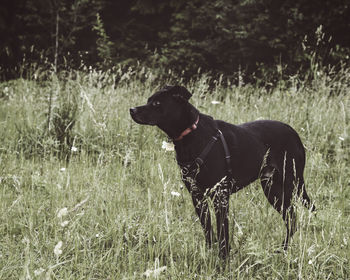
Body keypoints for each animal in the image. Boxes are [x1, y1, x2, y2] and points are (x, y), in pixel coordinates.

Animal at [130, 85, 316, 258]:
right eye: (148, 100)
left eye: (156, 103)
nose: (132, 110)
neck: (191, 135)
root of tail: (294, 133)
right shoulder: (197, 196)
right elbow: (208, 230)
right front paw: (210, 254)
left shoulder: (220, 196)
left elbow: (222, 232)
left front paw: (223, 260)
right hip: (273, 189)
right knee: (291, 219)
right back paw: (282, 250)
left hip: (292, 184)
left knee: (295, 217)